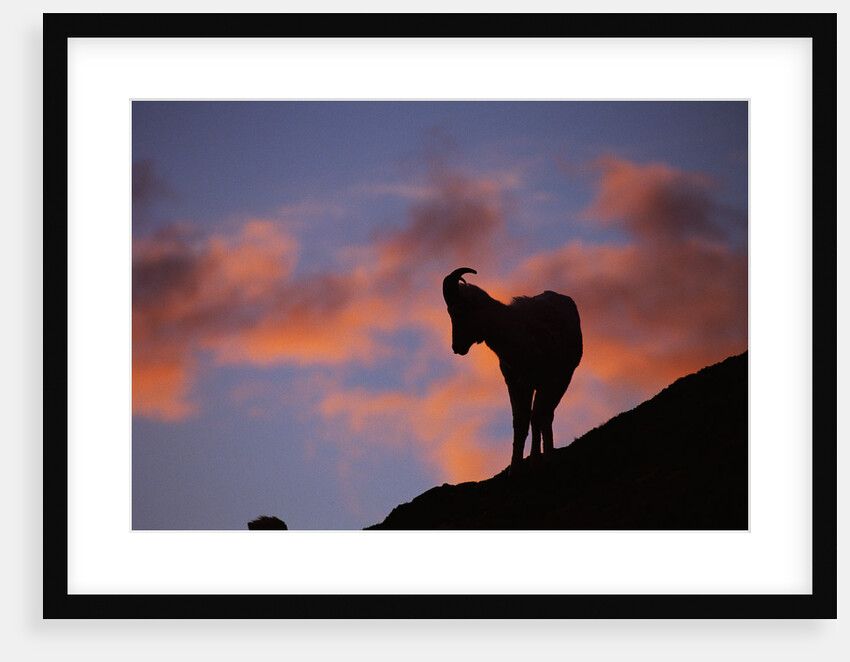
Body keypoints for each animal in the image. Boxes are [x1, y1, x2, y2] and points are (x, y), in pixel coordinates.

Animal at [442, 267, 582, 475]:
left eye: (459, 312)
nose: (456, 347)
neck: (517, 335)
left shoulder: (546, 380)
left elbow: (535, 417)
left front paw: (535, 463)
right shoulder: (516, 384)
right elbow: (520, 423)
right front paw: (515, 469)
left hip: (562, 381)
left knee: (546, 414)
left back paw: (548, 456)